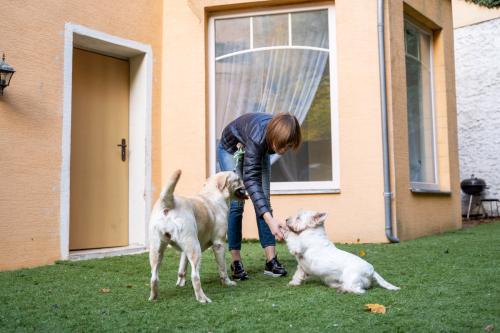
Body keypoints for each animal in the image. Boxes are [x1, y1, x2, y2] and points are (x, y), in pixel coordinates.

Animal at [149, 170, 249, 302]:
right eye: (238, 179)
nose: (245, 182)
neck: (213, 193)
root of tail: (169, 203)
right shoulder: (219, 243)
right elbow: (222, 268)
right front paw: (227, 282)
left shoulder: (184, 250)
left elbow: (182, 268)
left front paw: (180, 283)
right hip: (194, 248)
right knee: (195, 276)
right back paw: (202, 298)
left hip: (157, 250)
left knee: (154, 276)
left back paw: (153, 297)